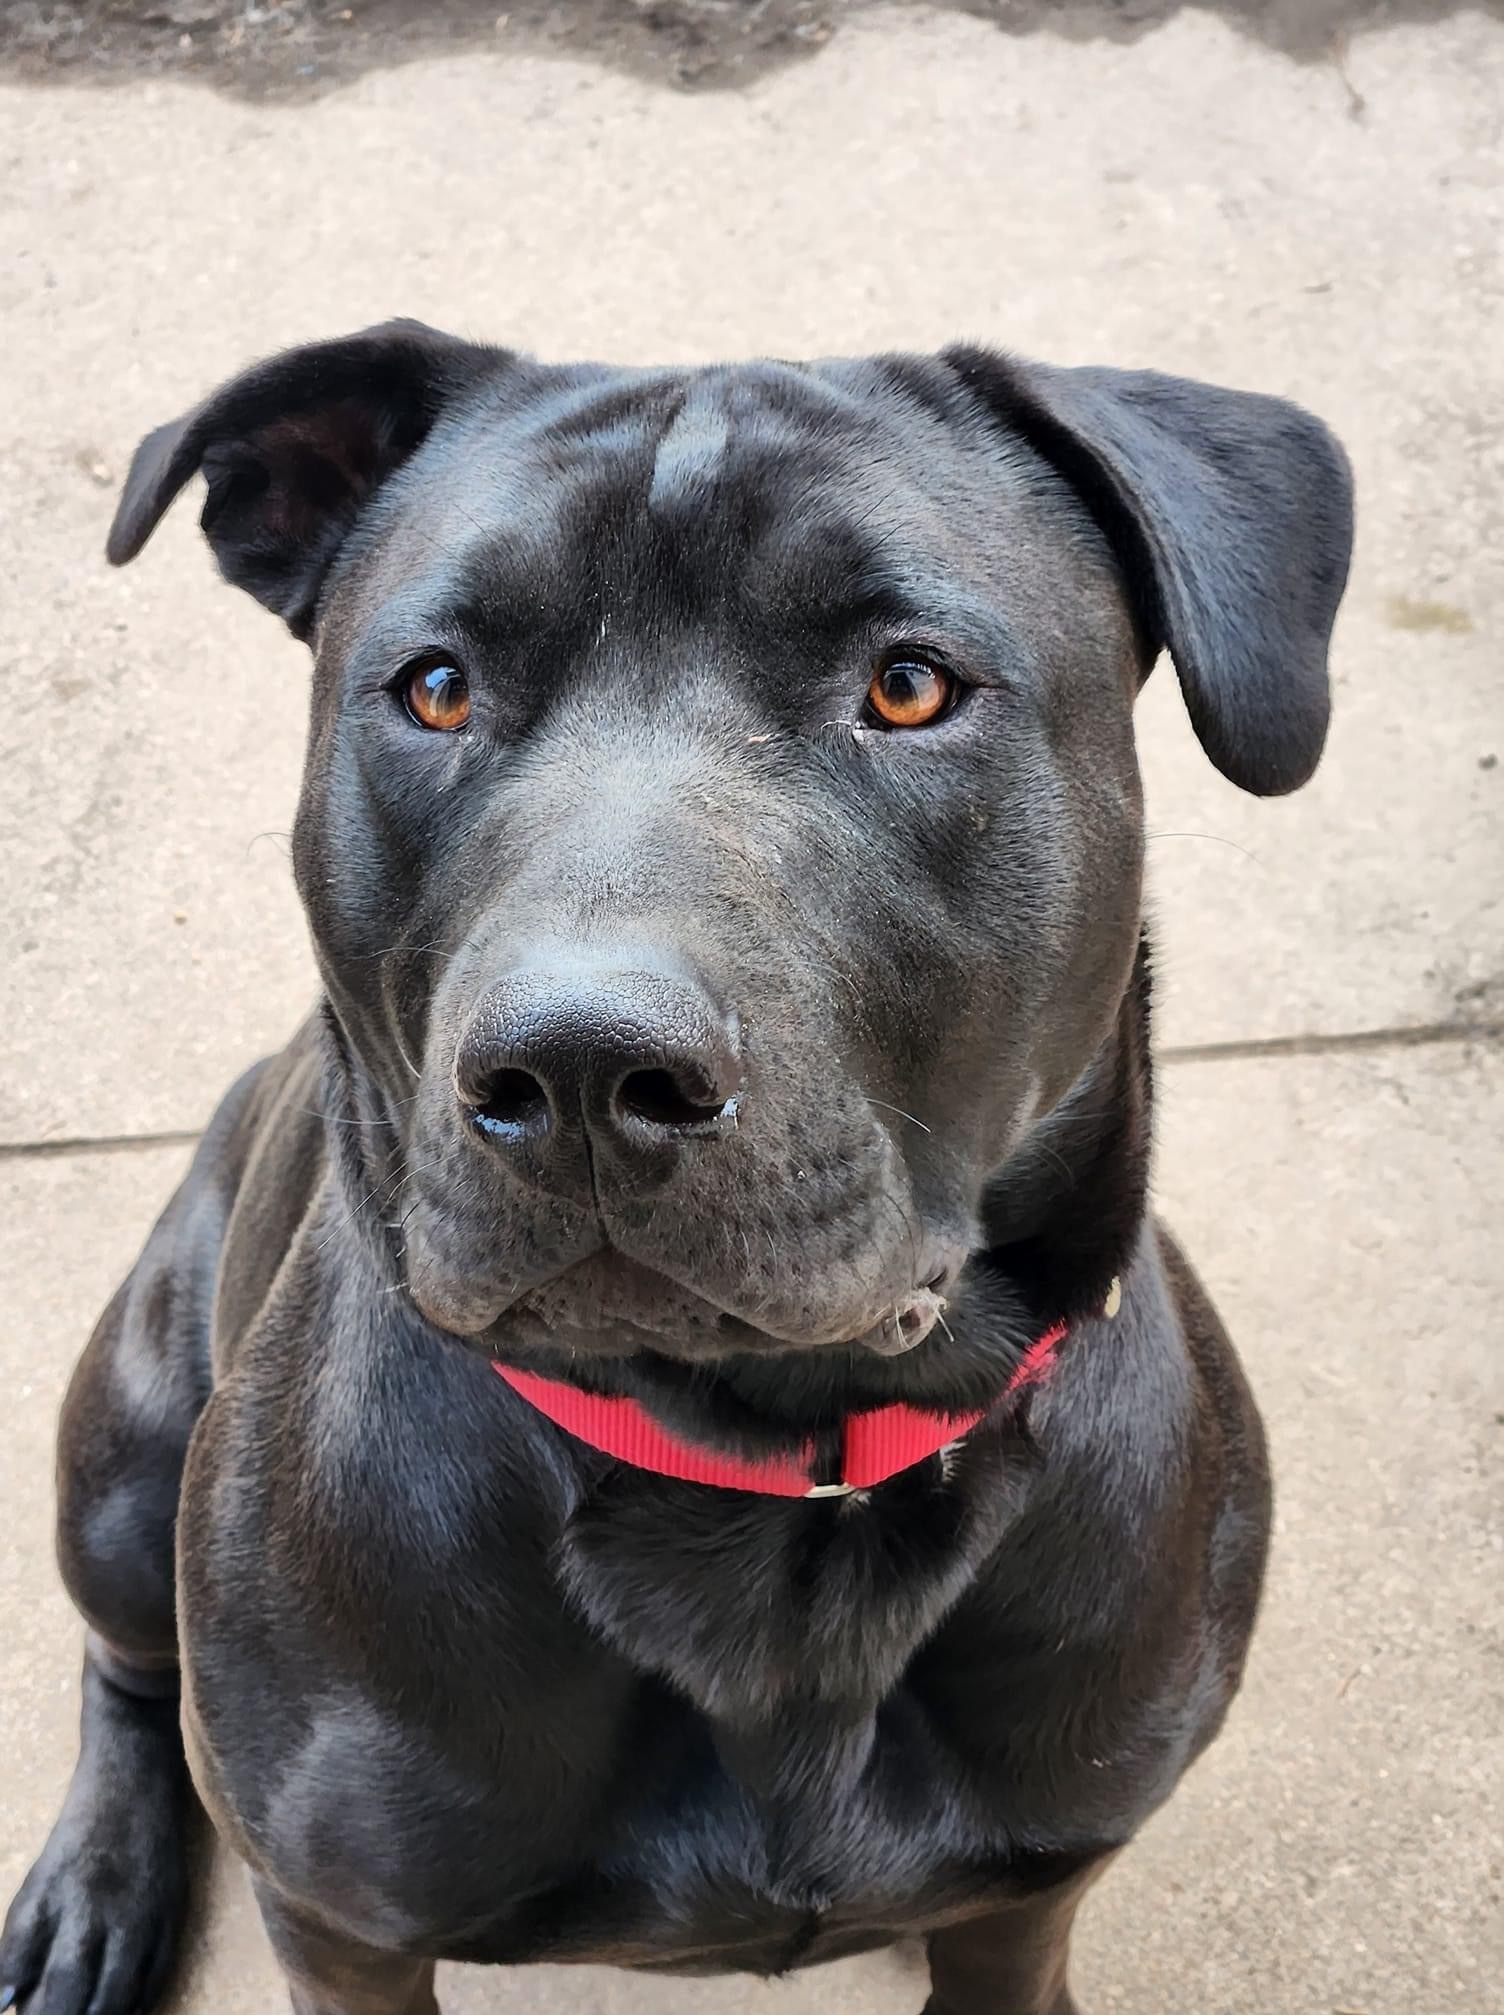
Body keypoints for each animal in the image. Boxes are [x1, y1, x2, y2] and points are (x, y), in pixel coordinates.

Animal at [0, 322, 1354, 2006]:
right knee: (127, 1662)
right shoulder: (340, 1924)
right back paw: (95, 1886)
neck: (769, 1490)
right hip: (125, 1451)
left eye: (909, 685)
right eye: (436, 690)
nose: (578, 1069)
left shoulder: (1036, 1886)